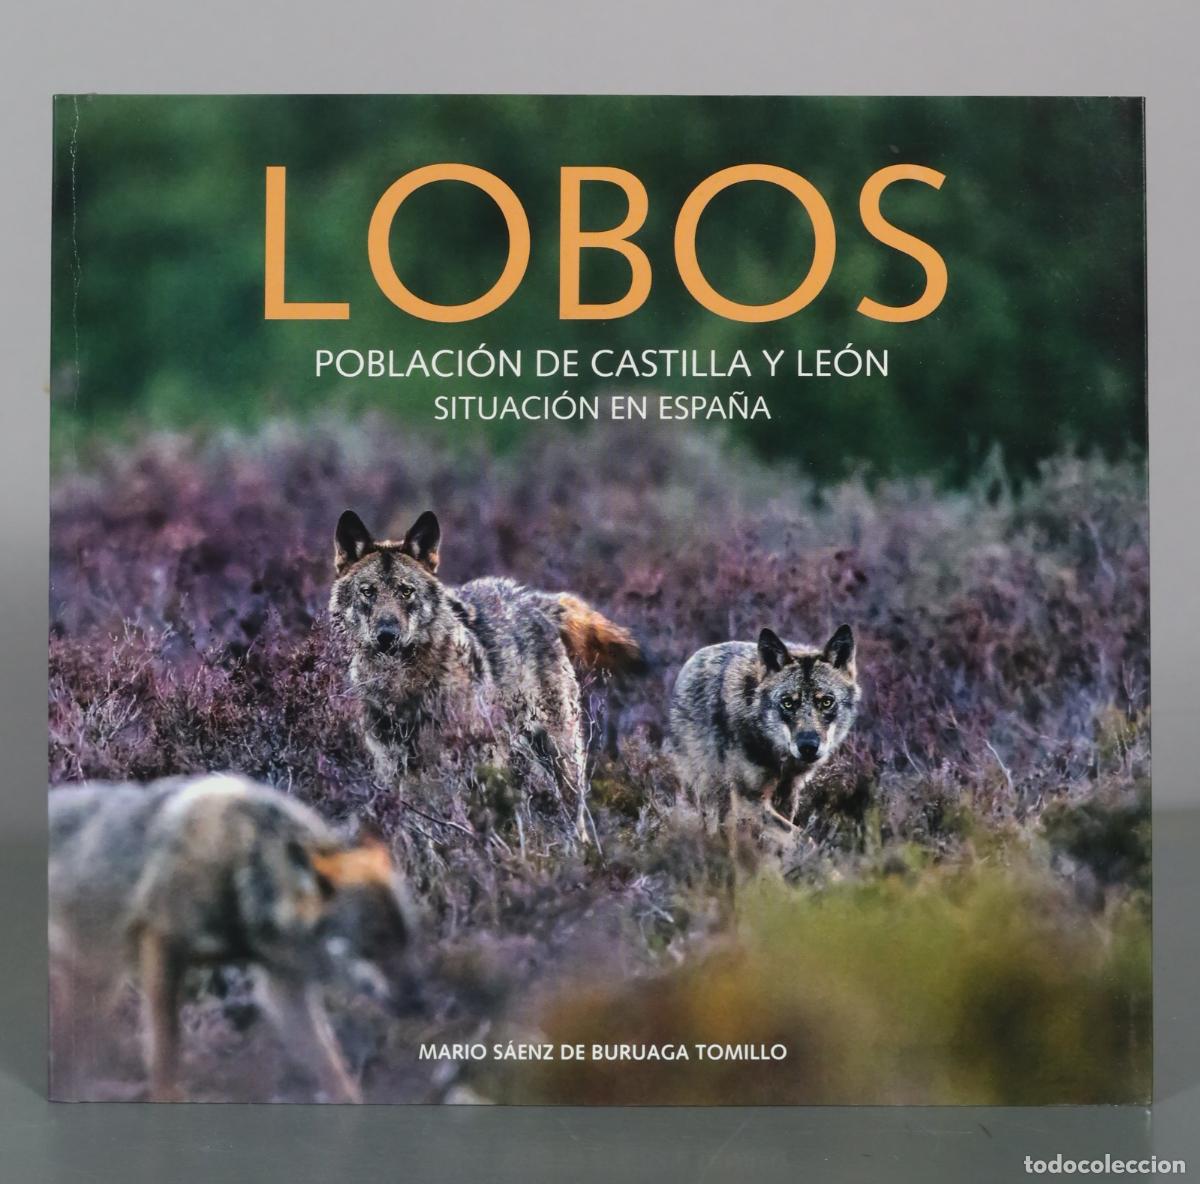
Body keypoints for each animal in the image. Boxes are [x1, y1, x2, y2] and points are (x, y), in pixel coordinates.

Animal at [48, 773, 412, 1103]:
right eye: (374, 940)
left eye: (408, 937)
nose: (420, 1001)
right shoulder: (164, 945)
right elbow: (166, 1048)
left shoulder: (283, 985)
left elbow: (334, 1069)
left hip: (98, 983)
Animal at [328, 509, 642, 841]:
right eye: (368, 592)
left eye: (405, 591)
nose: (387, 635)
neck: (401, 686)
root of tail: (533, 598)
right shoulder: (392, 767)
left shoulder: (466, 761)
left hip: (558, 754)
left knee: (574, 814)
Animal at [668, 625, 860, 832]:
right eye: (787, 703)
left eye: (826, 702)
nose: (808, 747)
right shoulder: (749, 800)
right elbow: (800, 836)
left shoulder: (789, 793)